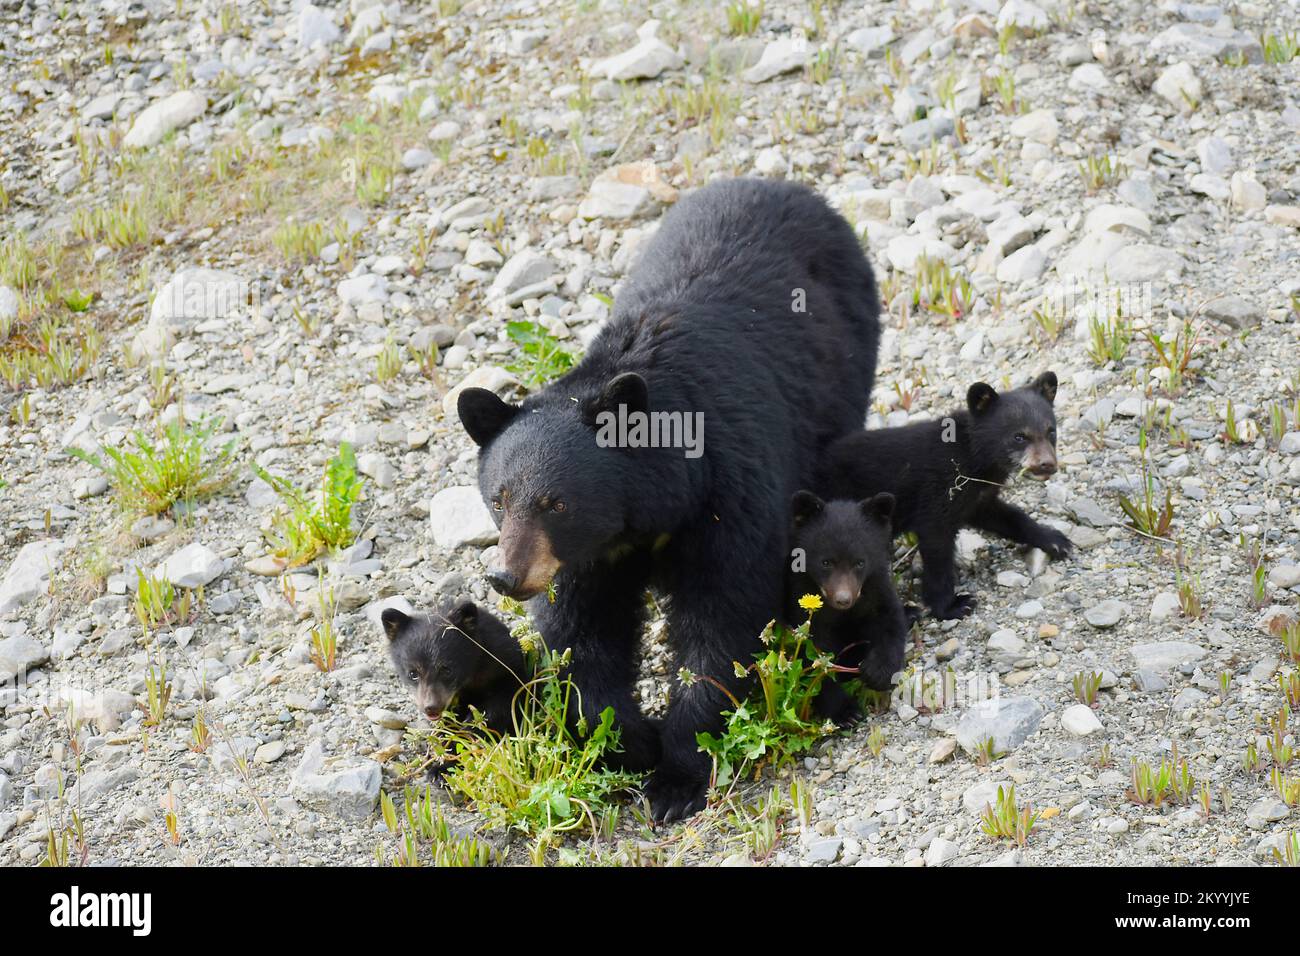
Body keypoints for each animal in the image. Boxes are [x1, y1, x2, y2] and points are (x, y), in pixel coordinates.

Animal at [460, 179, 883, 822]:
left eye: (556, 503)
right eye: (500, 499)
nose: (506, 578)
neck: (644, 515)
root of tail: (781, 185)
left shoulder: (729, 495)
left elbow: (722, 617)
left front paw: (679, 775)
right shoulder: (584, 557)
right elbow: (583, 634)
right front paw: (626, 744)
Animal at [821, 369, 1066, 624]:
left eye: (1051, 431)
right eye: (1019, 436)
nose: (1047, 464)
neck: (976, 458)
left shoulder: (976, 495)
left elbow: (1002, 514)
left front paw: (1054, 539)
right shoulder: (939, 485)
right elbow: (936, 540)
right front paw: (951, 605)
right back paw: (905, 612)